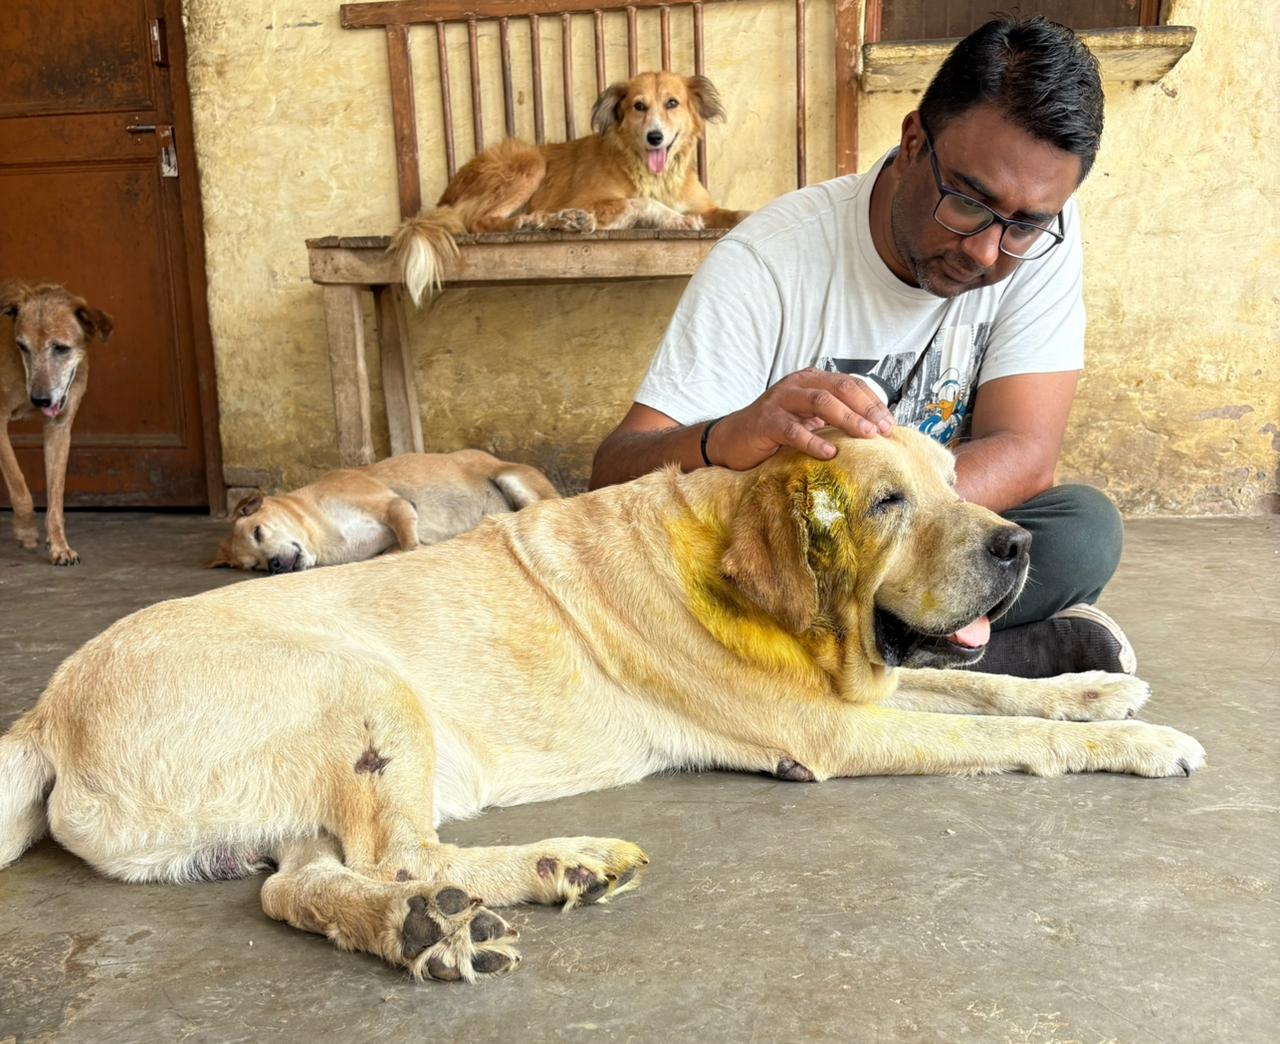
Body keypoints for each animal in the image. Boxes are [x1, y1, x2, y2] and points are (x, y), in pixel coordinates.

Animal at [1, 281, 113, 566]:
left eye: (62, 348)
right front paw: (26, 531)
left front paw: (60, 546)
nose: (40, 400)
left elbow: (55, 497)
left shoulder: (59, 429)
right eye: (22, 346)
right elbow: (19, 485)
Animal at [210, 449, 559, 573]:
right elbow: (400, 550)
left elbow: (408, 544)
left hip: (513, 480)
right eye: (254, 566)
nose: (273, 566)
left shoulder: (396, 506)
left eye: (258, 532)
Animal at [394, 70, 752, 304]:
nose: (655, 137)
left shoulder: (706, 207)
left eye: (672, 103)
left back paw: (553, 221)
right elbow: (640, 201)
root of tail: (446, 196)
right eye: (639, 106)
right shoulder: (595, 200)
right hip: (528, 161)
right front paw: (674, 219)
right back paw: (538, 222)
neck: (657, 177)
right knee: (478, 221)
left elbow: (732, 213)